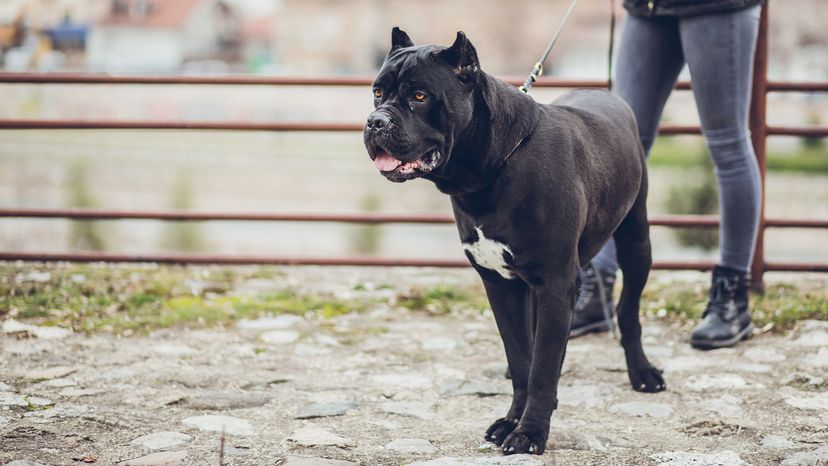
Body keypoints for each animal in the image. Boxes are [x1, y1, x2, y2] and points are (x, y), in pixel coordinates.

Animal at [362, 28, 668, 456]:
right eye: (377, 92)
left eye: (419, 96)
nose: (375, 121)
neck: (492, 168)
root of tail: (604, 93)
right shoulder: (502, 284)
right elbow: (524, 360)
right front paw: (512, 420)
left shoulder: (555, 282)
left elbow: (540, 368)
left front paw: (530, 433)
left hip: (636, 240)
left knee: (628, 312)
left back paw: (642, 372)